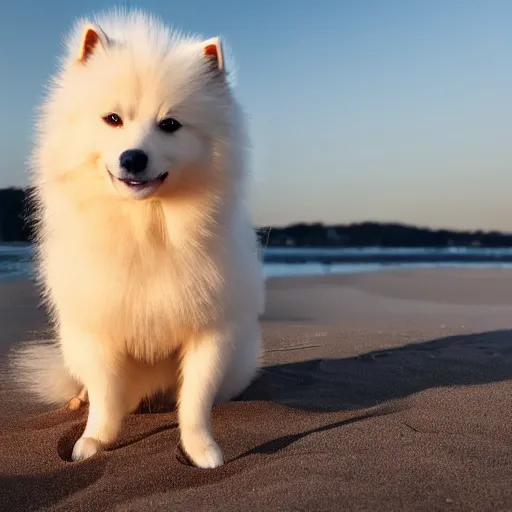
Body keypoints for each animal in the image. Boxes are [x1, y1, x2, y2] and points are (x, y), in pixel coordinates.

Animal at [12, 10, 264, 470]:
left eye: (169, 125)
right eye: (113, 119)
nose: (133, 158)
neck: (146, 226)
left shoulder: (209, 332)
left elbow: (195, 401)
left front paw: (202, 450)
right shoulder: (98, 331)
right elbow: (105, 397)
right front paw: (92, 442)